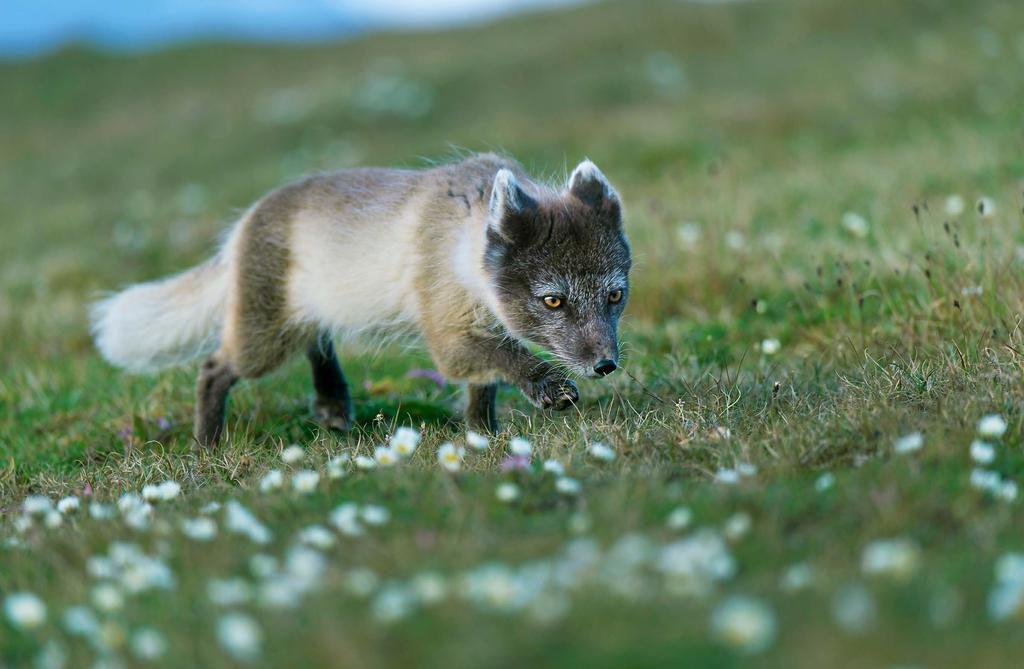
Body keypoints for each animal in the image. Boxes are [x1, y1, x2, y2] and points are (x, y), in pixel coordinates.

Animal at [92, 153, 626, 446]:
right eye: (553, 301)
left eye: (615, 295)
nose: (605, 365)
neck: (461, 242)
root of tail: (242, 224)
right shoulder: (448, 331)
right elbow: (504, 358)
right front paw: (547, 387)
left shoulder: (479, 322)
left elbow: (483, 386)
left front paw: (483, 436)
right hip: (263, 339)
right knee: (214, 367)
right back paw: (207, 444)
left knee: (318, 342)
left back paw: (332, 405)